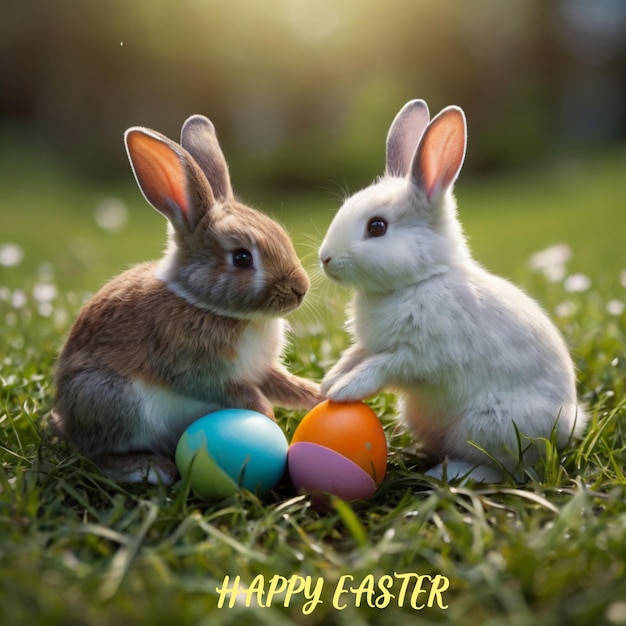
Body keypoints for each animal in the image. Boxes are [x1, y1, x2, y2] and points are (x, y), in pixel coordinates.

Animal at [51, 113, 320, 482]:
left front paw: (320, 394)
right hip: (117, 402)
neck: (206, 304)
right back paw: (149, 469)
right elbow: (235, 393)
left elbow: (283, 384)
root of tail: (67, 420)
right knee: (98, 455)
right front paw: (267, 417)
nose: (300, 289)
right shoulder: (199, 370)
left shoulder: (261, 370)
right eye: (241, 258)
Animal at [320, 100, 588, 480]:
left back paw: (451, 474)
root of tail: (570, 426)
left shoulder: (422, 355)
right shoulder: (370, 345)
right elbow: (355, 356)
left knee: (509, 470)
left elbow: (384, 366)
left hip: (489, 424)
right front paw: (328, 382)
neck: (421, 280)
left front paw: (345, 390)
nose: (325, 258)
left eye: (377, 227)